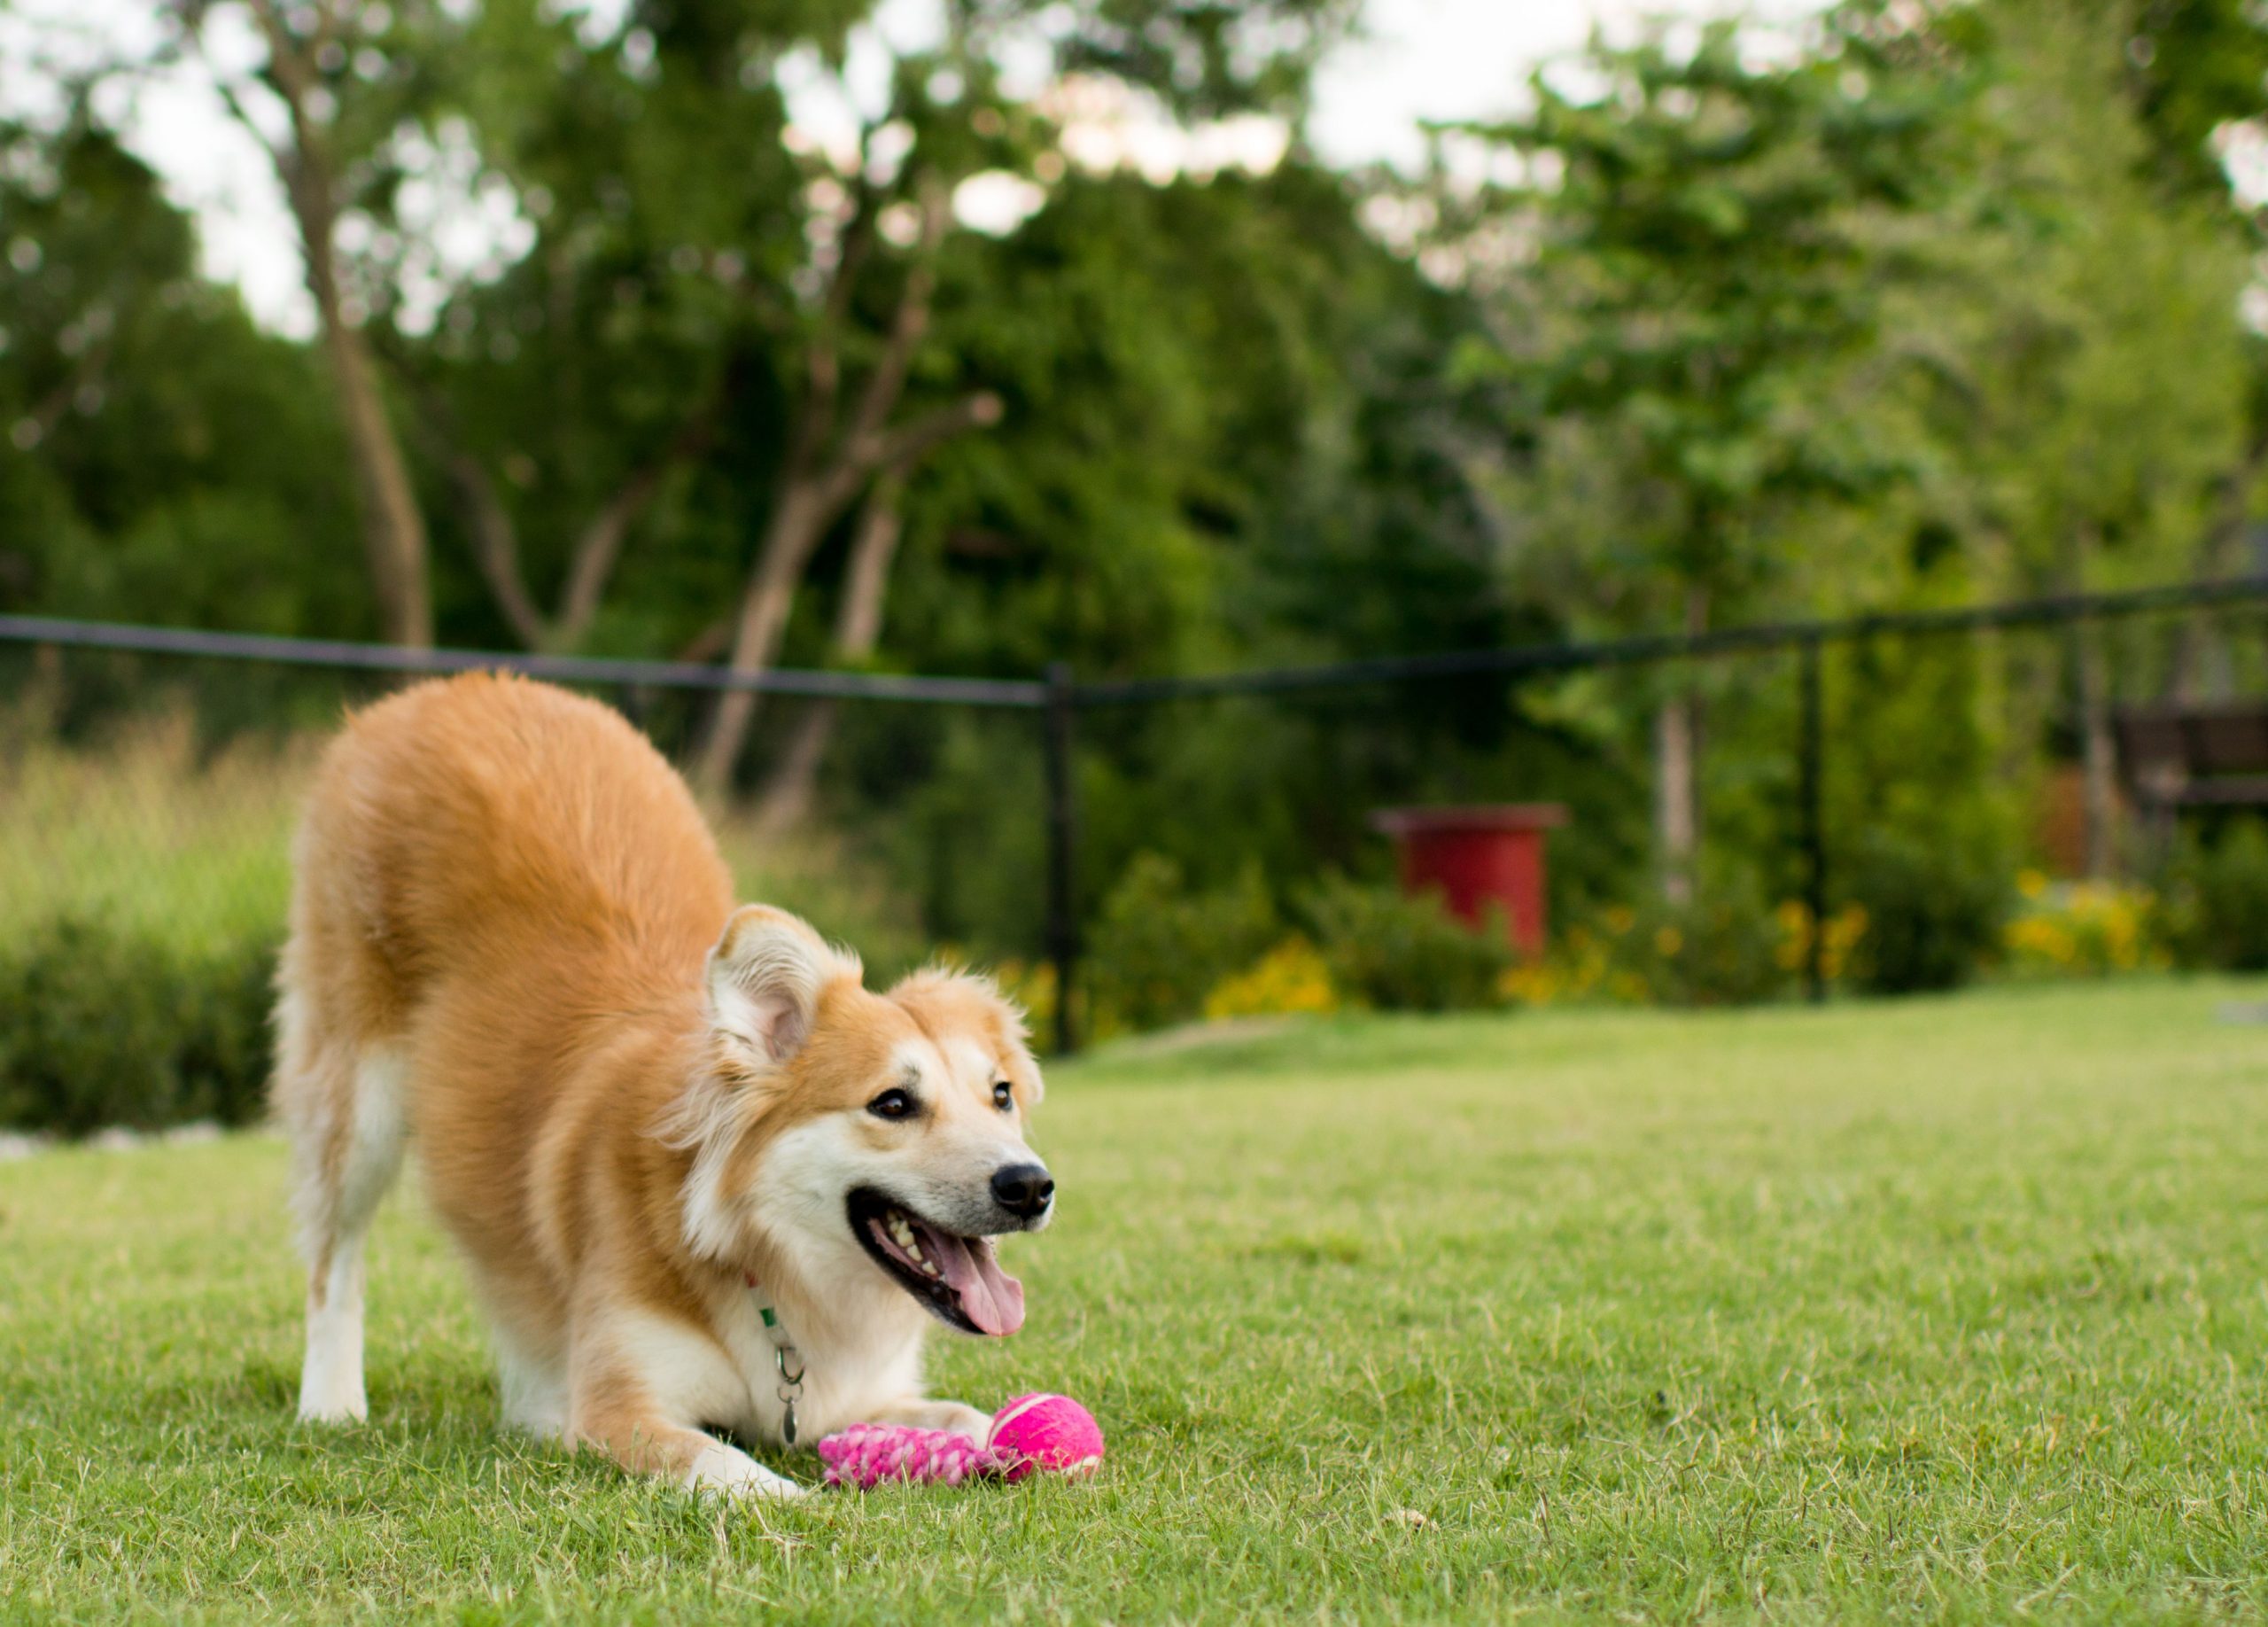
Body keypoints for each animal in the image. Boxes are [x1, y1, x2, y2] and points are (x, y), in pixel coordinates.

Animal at [269, 671, 1047, 1498]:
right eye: (892, 1104)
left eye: (1000, 1096)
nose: (1030, 1187)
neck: (761, 1257)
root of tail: (454, 686)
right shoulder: (619, 1410)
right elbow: (727, 1465)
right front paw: (797, 1500)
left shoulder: (860, 1395)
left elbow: (969, 1415)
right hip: (356, 1098)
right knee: (333, 1261)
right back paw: (332, 1402)